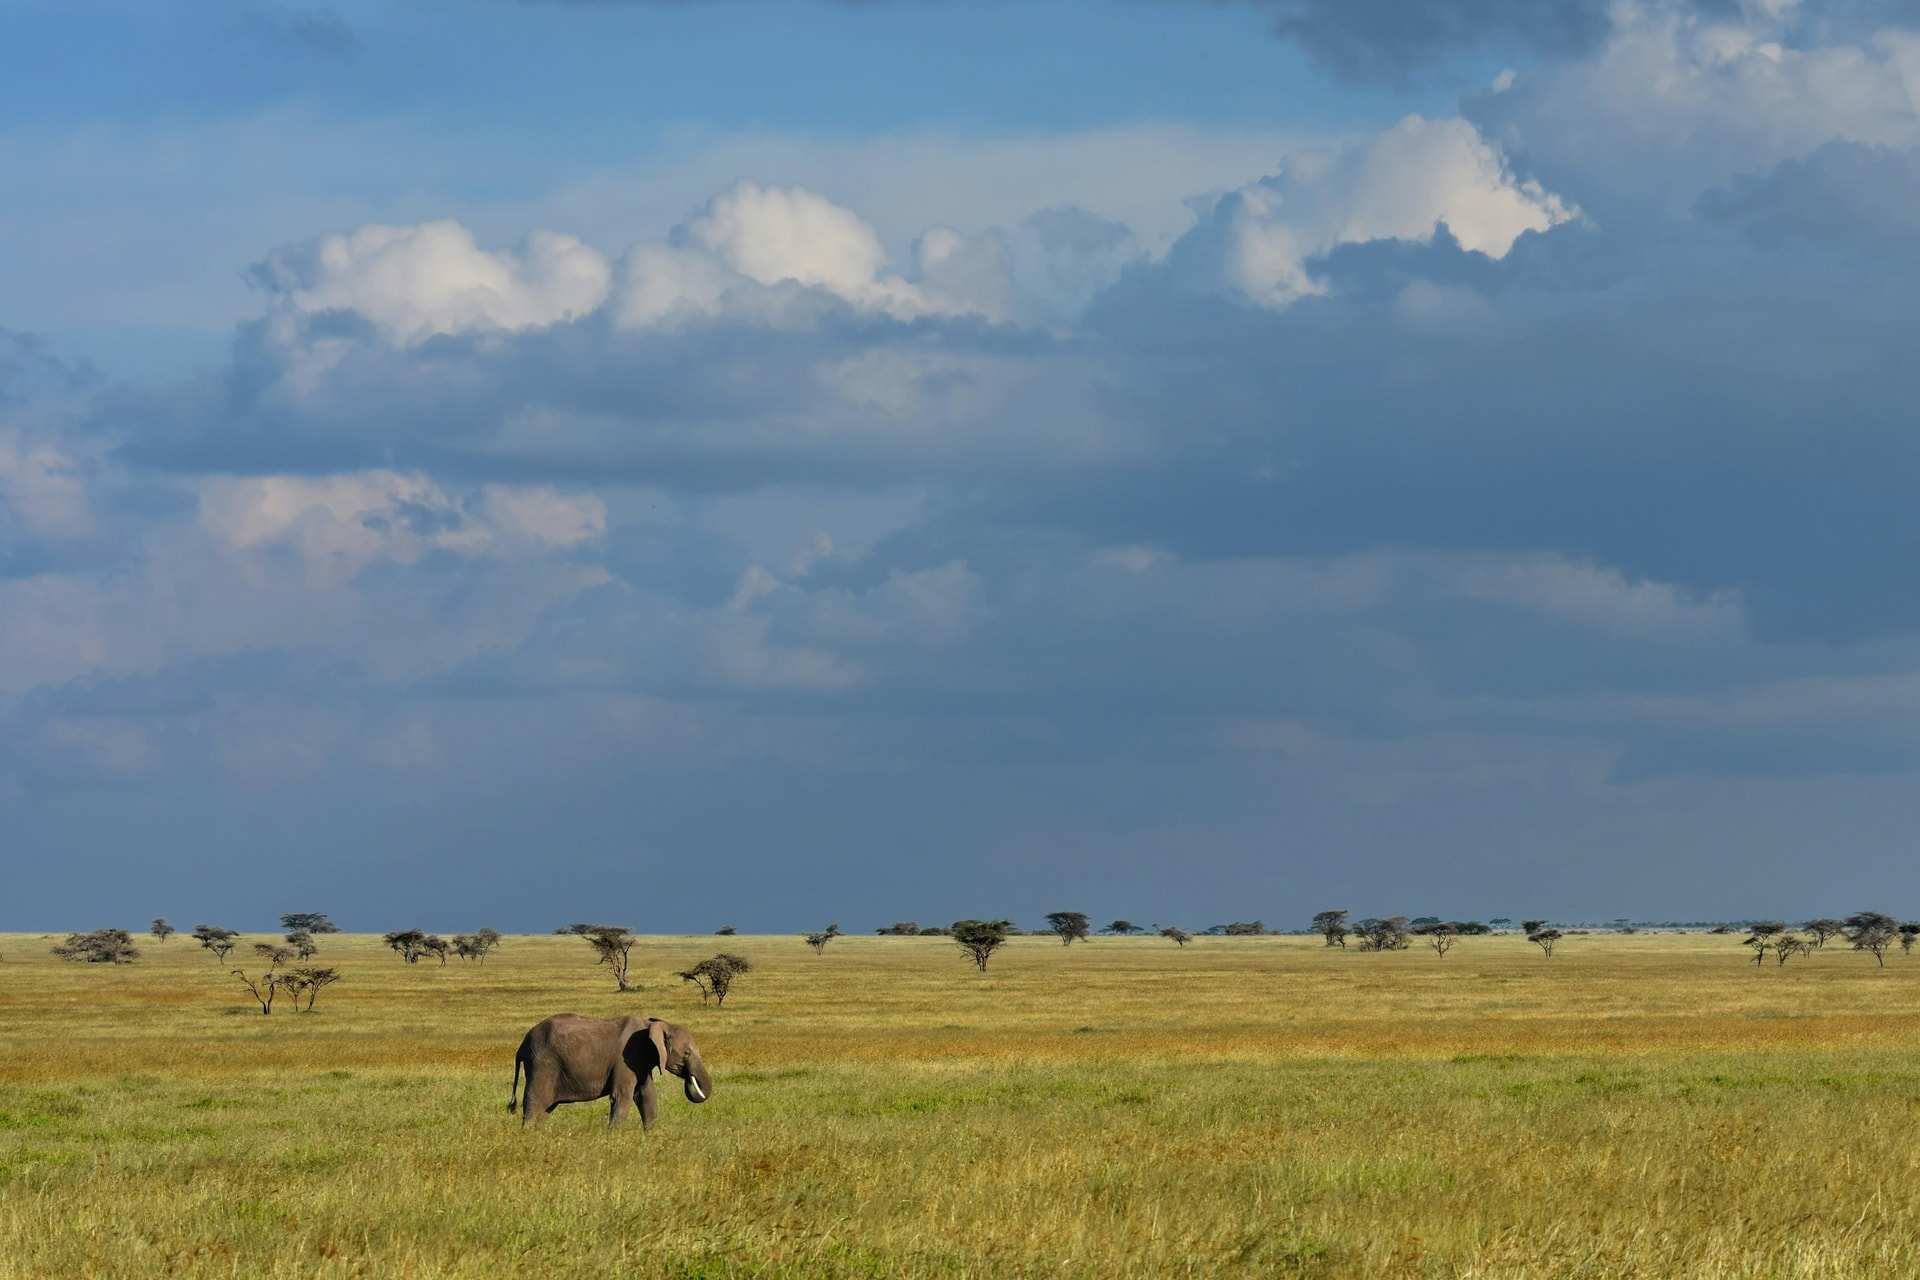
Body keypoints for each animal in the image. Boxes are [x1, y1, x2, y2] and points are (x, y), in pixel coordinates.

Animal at [508, 1013, 713, 1128]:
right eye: (687, 1053)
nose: (689, 1077)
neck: (653, 1024)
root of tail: (522, 1045)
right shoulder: (627, 1059)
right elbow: (622, 1097)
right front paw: (613, 1139)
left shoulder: (641, 1062)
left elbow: (646, 1096)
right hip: (542, 1064)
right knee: (534, 1103)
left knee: (545, 1109)